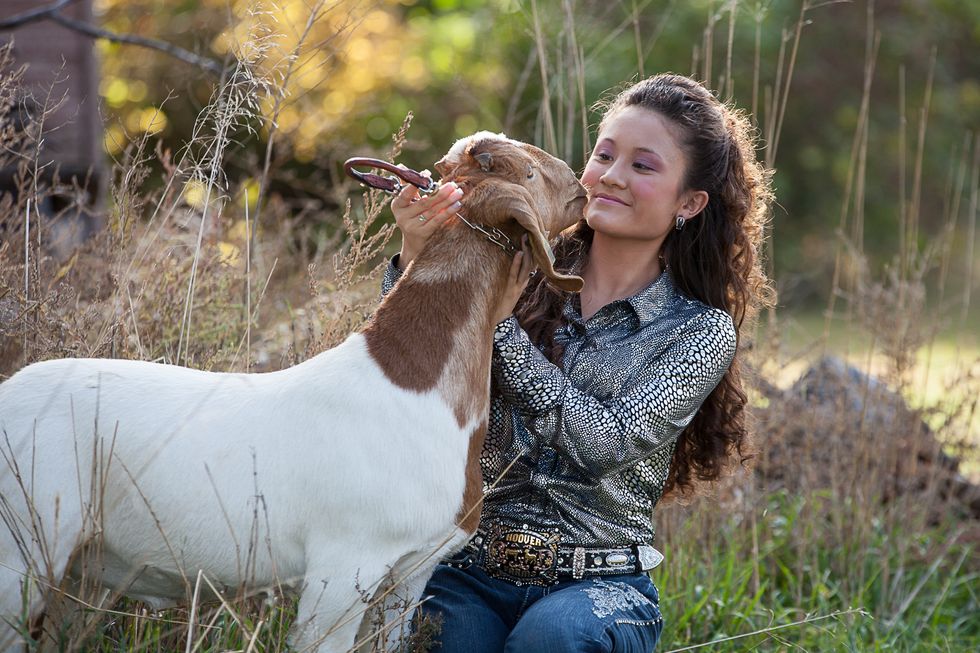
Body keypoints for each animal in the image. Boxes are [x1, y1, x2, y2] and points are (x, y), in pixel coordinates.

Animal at [0, 130, 580, 648]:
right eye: (528, 172)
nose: (579, 182)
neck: (422, 387)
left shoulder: (411, 573)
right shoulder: (343, 570)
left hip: (76, 574)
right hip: (23, 553)